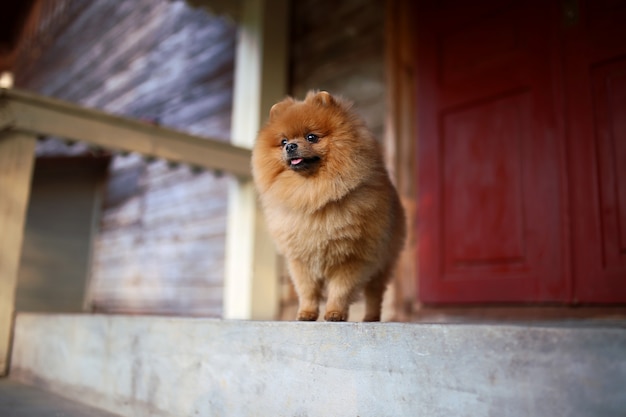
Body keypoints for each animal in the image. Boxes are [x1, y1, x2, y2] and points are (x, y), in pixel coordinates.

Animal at [252, 89, 404, 320]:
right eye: (283, 141)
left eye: (311, 137)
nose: (290, 146)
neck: (312, 193)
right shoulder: (301, 260)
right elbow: (307, 291)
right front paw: (306, 313)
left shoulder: (350, 257)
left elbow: (340, 290)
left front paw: (334, 312)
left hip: (383, 262)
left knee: (374, 293)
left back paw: (370, 317)